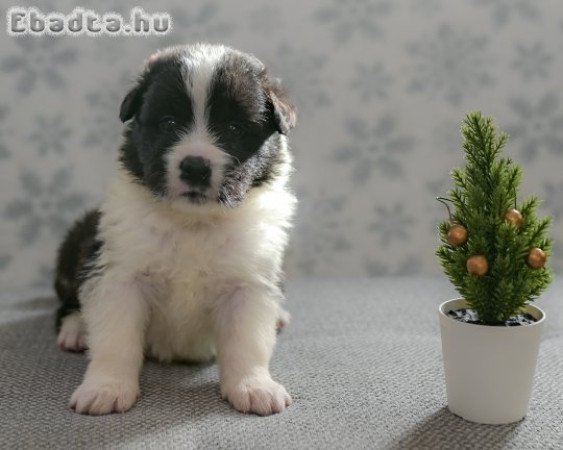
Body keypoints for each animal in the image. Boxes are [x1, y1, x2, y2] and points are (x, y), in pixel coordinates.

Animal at [54, 44, 298, 416]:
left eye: (234, 127)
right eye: (168, 122)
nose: (195, 166)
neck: (192, 222)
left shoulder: (248, 284)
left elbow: (247, 341)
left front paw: (254, 386)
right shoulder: (121, 276)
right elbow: (116, 339)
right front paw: (106, 388)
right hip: (78, 244)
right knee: (67, 301)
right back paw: (76, 329)